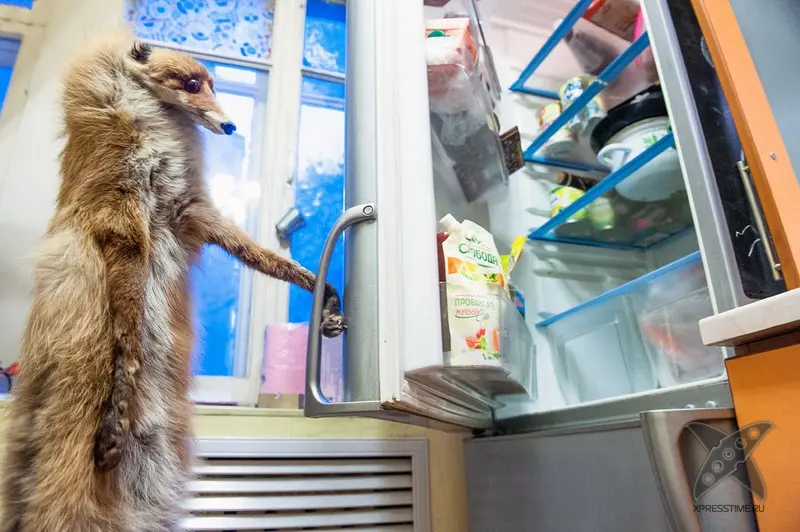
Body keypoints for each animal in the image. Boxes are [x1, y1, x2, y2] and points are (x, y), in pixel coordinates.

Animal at [0, 33, 345, 532]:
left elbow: (268, 259)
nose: (230, 125)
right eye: (191, 83)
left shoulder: (191, 213)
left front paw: (325, 291)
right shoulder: (121, 223)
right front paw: (113, 426)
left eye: (213, 84)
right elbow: (128, 346)